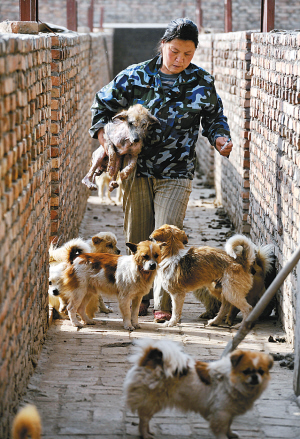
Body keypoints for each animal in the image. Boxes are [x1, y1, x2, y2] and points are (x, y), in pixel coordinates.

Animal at [123, 338, 274, 439]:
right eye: (246, 371)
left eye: (261, 372)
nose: (255, 377)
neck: (232, 380)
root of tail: (147, 360)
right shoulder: (221, 412)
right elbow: (221, 429)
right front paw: (225, 437)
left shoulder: (229, 411)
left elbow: (229, 425)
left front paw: (231, 434)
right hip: (152, 401)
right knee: (144, 419)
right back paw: (145, 434)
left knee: (145, 418)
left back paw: (149, 432)